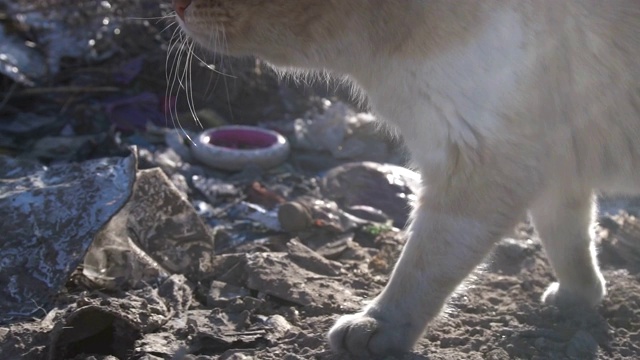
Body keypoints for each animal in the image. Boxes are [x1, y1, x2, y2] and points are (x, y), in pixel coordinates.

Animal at [171, 0, 640, 358]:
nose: (175, 5)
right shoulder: (554, 169)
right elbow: (570, 242)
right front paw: (579, 298)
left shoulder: (482, 163)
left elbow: (421, 266)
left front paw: (377, 327)